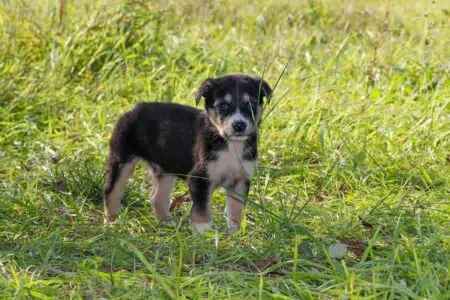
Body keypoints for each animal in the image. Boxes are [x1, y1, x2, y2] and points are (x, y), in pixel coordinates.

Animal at [103, 74, 270, 233]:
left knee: (157, 198)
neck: (229, 144)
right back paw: (112, 224)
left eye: (251, 103)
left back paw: (167, 225)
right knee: (111, 192)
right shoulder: (199, 178)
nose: (239, 125)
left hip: (165, 169)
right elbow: (202, 211)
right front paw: (204, 234)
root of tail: (134, 109)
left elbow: (235, 211)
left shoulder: (240, 181)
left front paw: (235, 234)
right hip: (121, 159)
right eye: (223, 105)